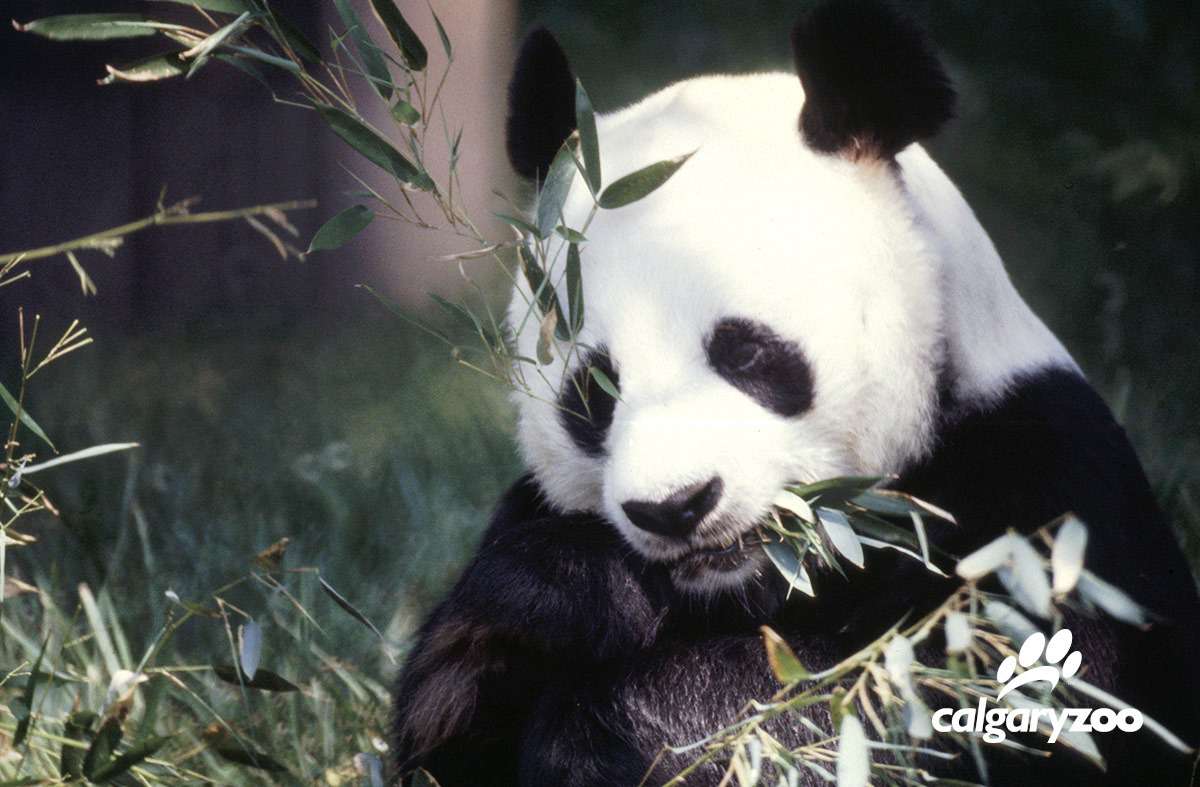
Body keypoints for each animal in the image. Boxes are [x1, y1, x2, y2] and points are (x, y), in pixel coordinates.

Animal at [391, 2, 1200, 785]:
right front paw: (574, 592)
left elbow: (965, 691)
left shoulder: (1040, 482)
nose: (676, 506)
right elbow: (446, 716)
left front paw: (639, 723)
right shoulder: (527, 516)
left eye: (746, 352)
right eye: (595, 388)